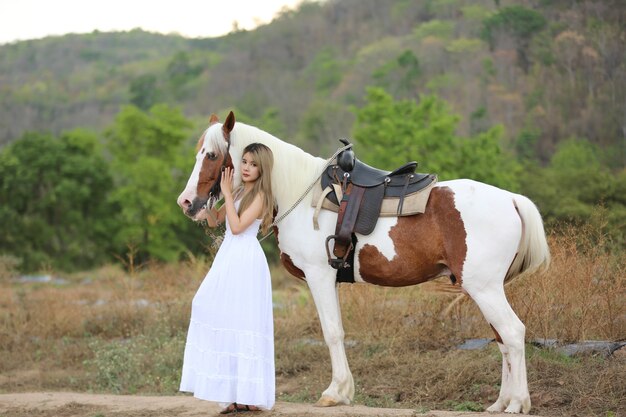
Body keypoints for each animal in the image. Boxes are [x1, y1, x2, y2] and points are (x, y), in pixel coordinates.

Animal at [177, 110, 552, 412]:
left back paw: (517, 403)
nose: (186, 202)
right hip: (486, 289)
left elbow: (332, 332)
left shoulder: (319, 276)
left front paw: (335, 392)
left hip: (484, 288)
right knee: (502, 339)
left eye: (211, 154)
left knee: (513, 333)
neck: (304, 193)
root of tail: (512, 199)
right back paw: (501, 402)